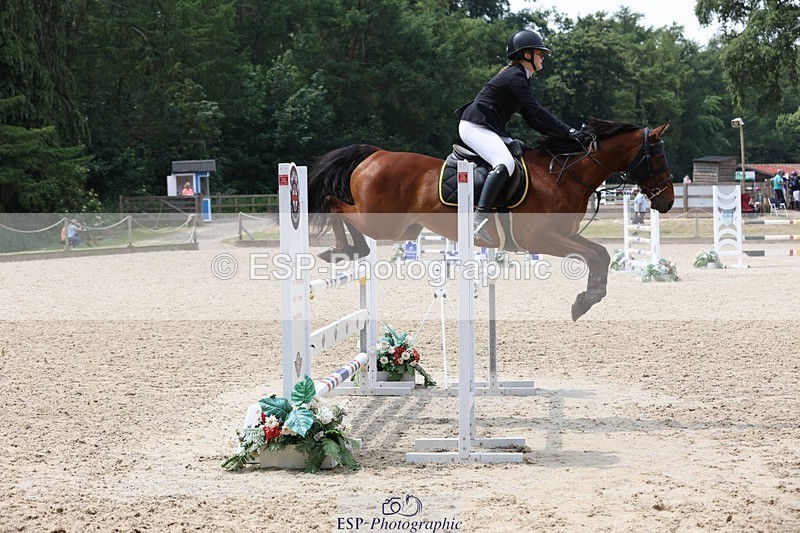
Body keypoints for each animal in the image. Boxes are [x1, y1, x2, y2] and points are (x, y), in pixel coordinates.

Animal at [307, 118, 674, 320]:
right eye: (657, 157)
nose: (668, 201)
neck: (564, 175)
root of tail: (374, 154)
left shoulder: (563, 236)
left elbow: (601, 254)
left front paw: (587, 299)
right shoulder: (541, 240)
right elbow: (592, 256)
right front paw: (584, 301)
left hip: (401, 228)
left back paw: (350, 249)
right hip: (385, 223)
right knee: (334, 204)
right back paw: (342, 248)